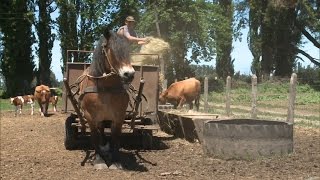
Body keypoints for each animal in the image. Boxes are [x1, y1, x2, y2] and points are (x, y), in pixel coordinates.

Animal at [80, 27, 135, 169]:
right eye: (111, 49)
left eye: (128, 50)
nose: (129, 74)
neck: (106, 88)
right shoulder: (90, 116)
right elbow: (94, 136)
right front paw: (99, 160)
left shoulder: (119, 116)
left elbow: (115, 138)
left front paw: (115, 160)